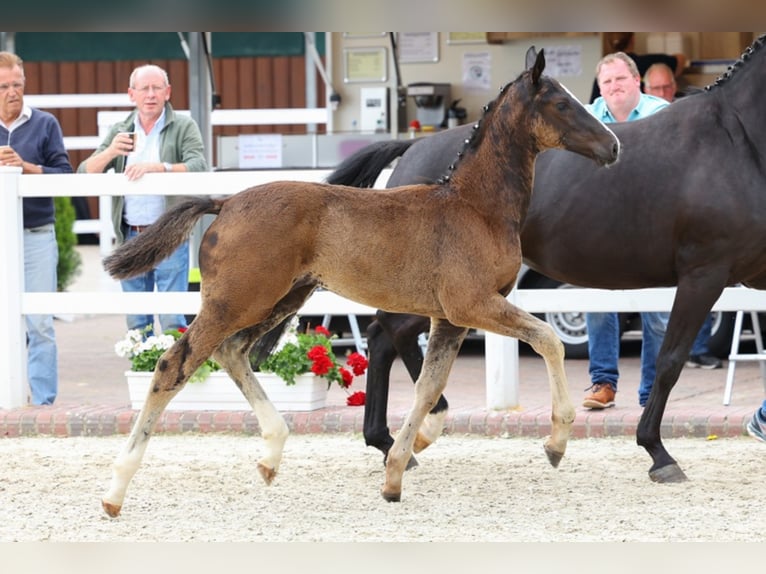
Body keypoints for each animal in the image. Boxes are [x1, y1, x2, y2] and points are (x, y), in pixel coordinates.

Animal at [99, 48, 620, 516]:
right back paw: (115, 490)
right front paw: (556, 441)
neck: (475, 207)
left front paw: (394, 475)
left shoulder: (449, 319)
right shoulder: (474, 304)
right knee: (174, 365)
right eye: (561, 103)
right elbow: (548, 338)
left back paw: (271, 454)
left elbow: (429, 388)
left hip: (281, 299)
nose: (613, 145)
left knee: (232, 352)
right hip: (235, 301)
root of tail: (224, 203)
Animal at [326, 35, 766, 486]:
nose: (612, 147)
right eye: (560, 103)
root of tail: (413, 147)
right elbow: (670, 360)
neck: (738, 140)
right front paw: (658, 453)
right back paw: (418, 431)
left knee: (382, 336)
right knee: (391, 334)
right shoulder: (703, 274)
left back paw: (390, 443)